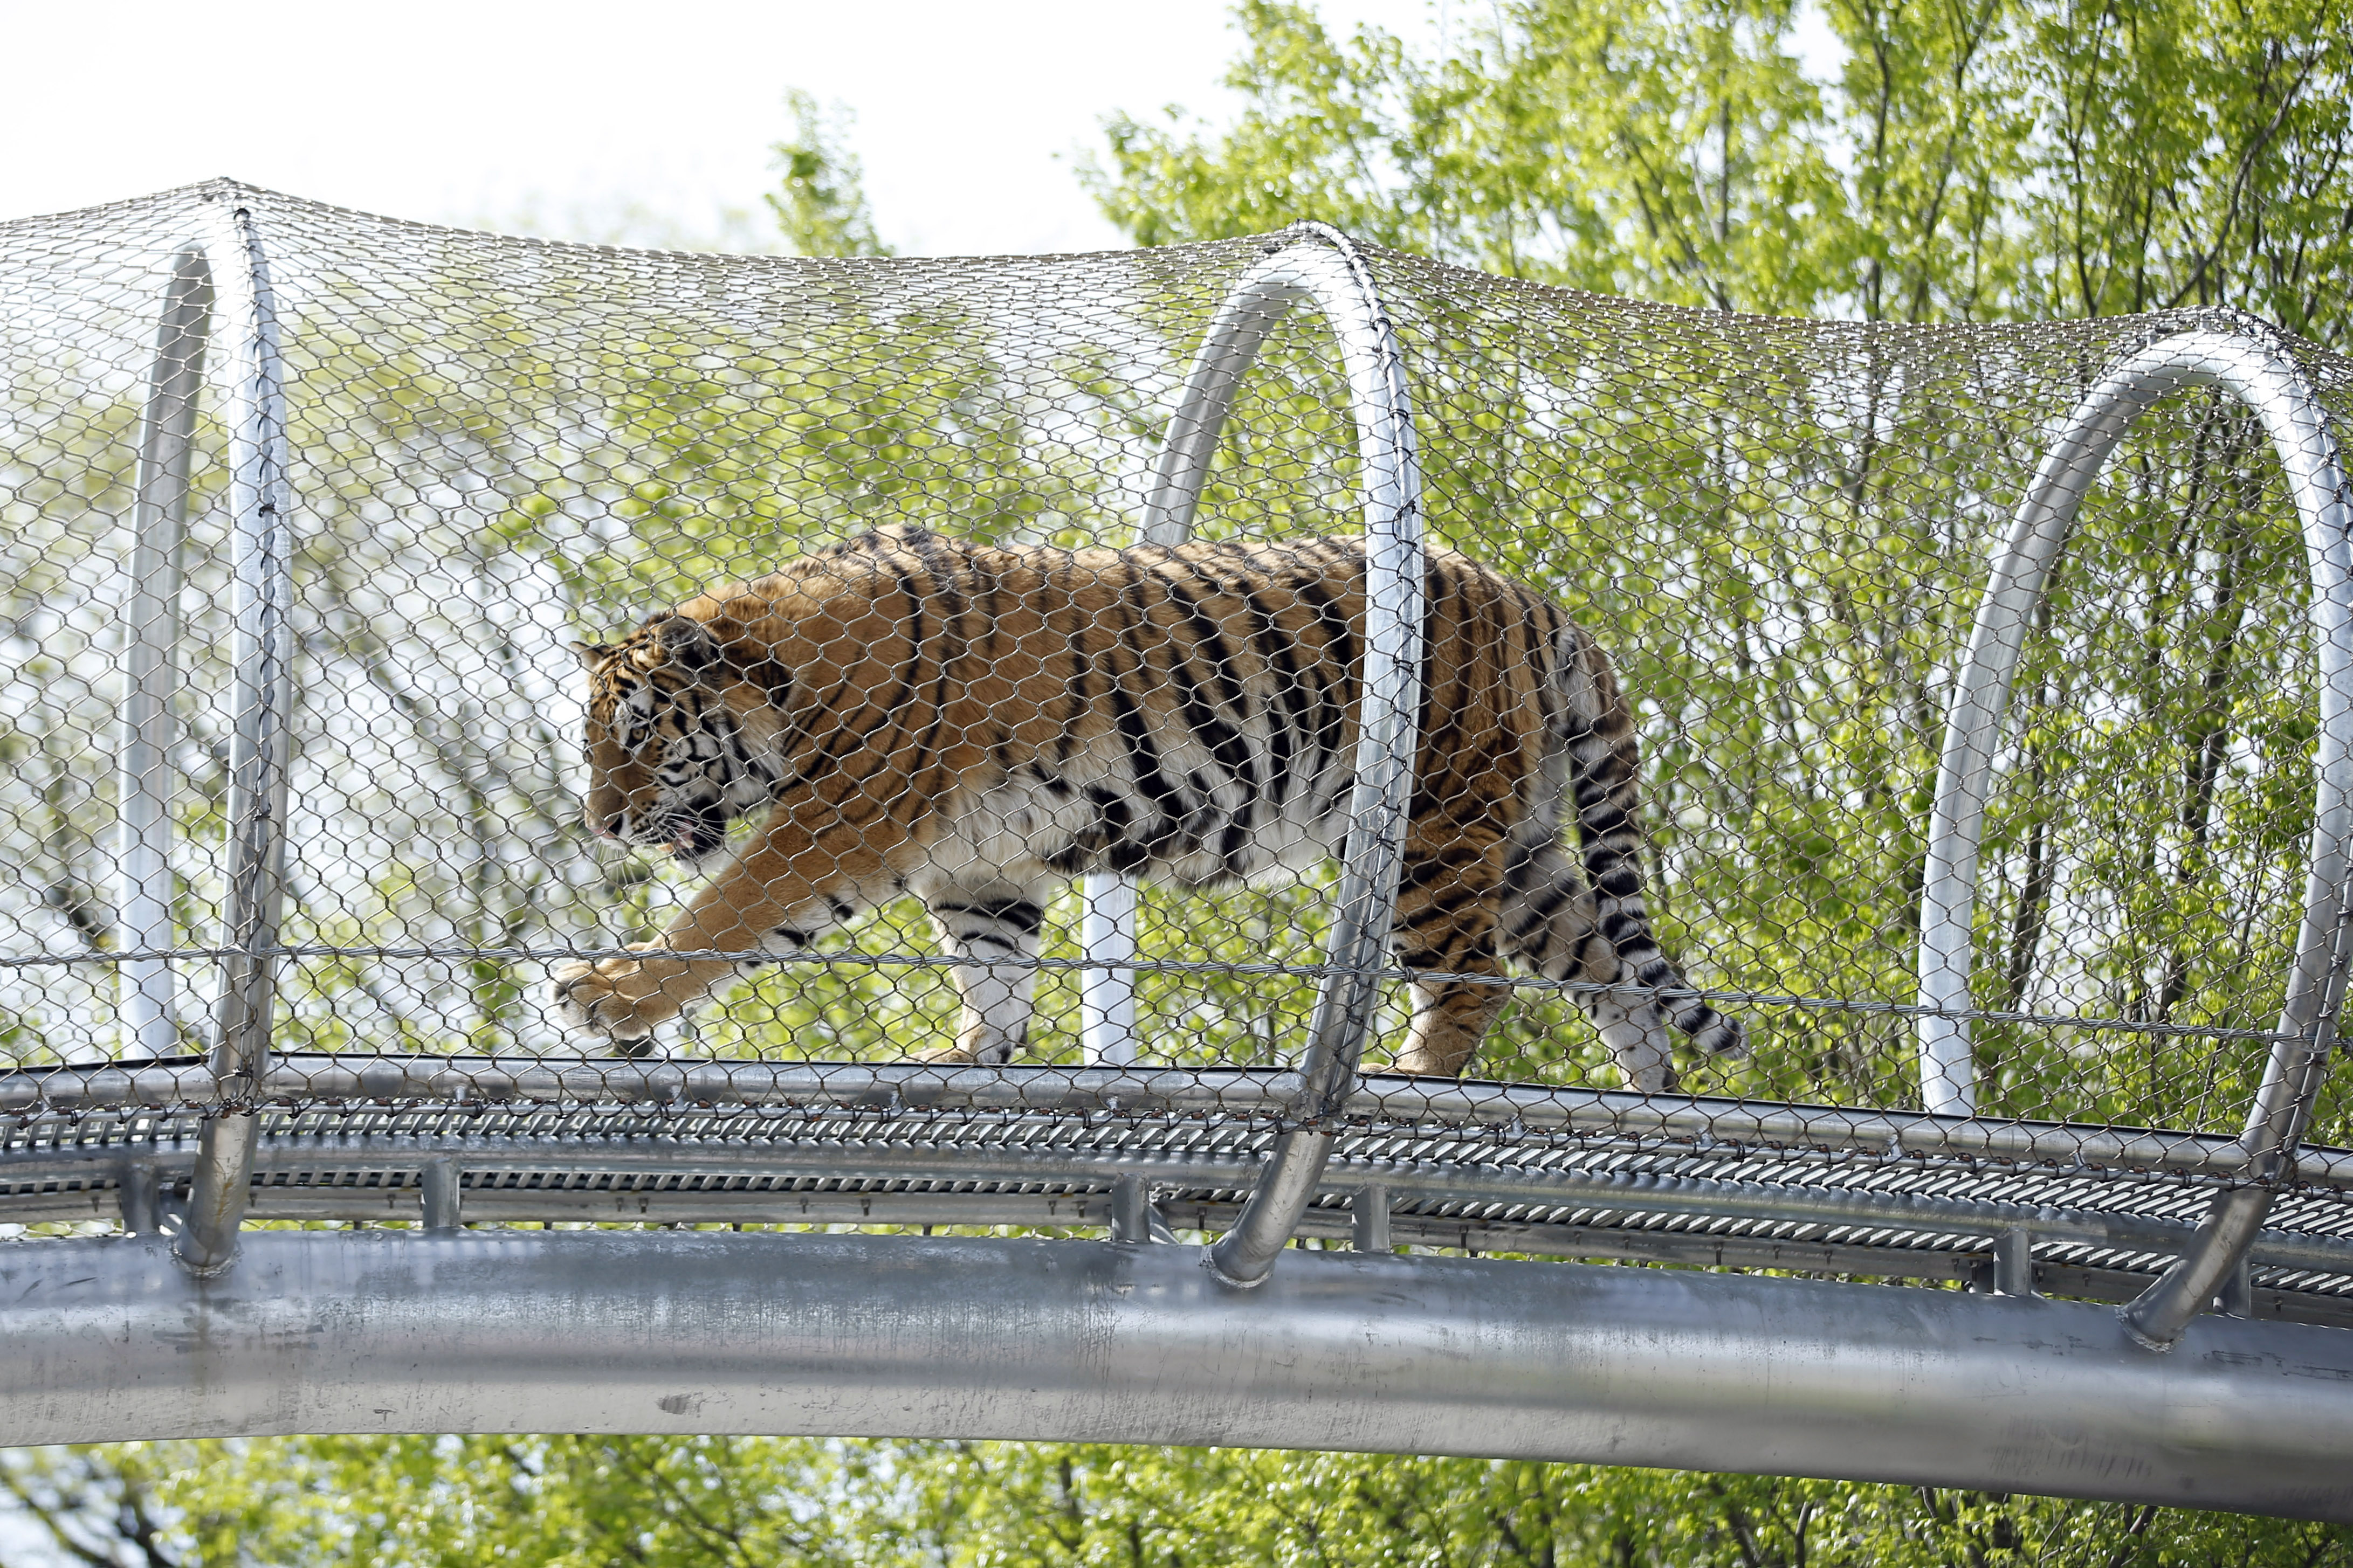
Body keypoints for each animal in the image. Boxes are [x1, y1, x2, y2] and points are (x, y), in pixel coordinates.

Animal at [548, 526, 1742, 1089]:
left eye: (637, 737)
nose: (602, 822)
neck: (792, 682)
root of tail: (1539, 604)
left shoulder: (837, 819)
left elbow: (722, 918)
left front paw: (605, 993)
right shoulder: (979, 860)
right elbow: (994, 969)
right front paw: (968, 1052)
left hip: (1430, 827)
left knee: (1474, 975)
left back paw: (1409, 1073)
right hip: (1523, 843)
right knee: (1604, 968)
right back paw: (1649, 1095)